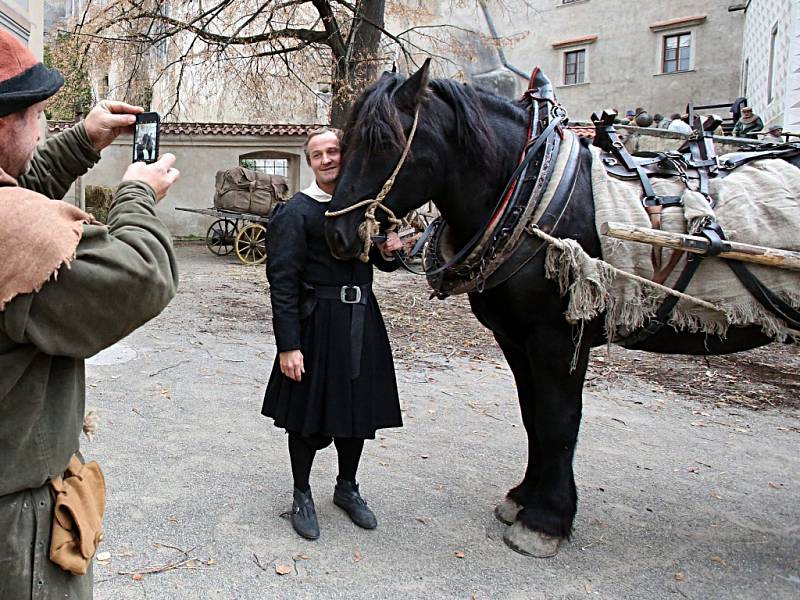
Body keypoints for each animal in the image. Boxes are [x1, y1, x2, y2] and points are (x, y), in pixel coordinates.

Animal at [324, 62, 792, 556]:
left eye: (383, 143)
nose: (337, 234)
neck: (535, 192)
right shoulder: (514, 338)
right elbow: (533, 416)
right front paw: (524, 498)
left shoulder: (560, 338)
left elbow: (558, 421)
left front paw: (546, 520)